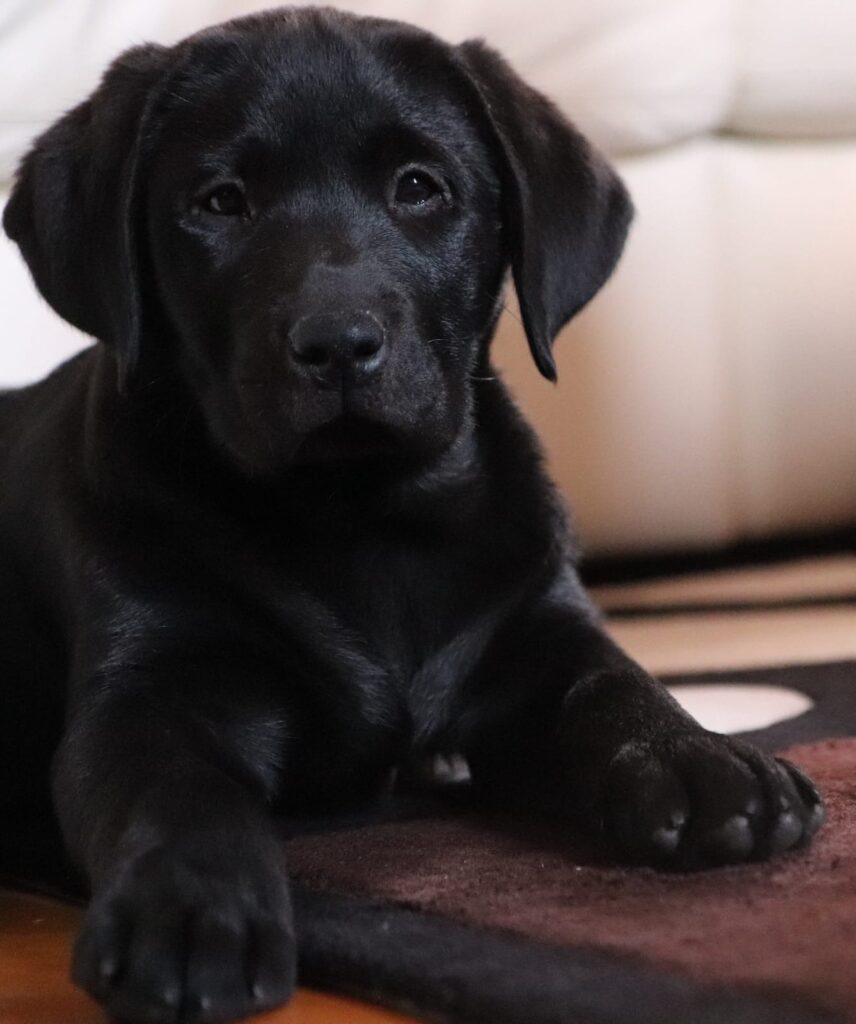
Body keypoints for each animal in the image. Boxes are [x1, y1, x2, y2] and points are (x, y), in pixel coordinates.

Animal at [1, 8, 823, 1024]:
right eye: (221, 202)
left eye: (420, 189)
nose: (337, 341)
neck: (365, 515)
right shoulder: (152, 682)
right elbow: (176, 791)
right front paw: (189, 909)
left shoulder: (536, 627)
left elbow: (616, 685)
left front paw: (703, 760)